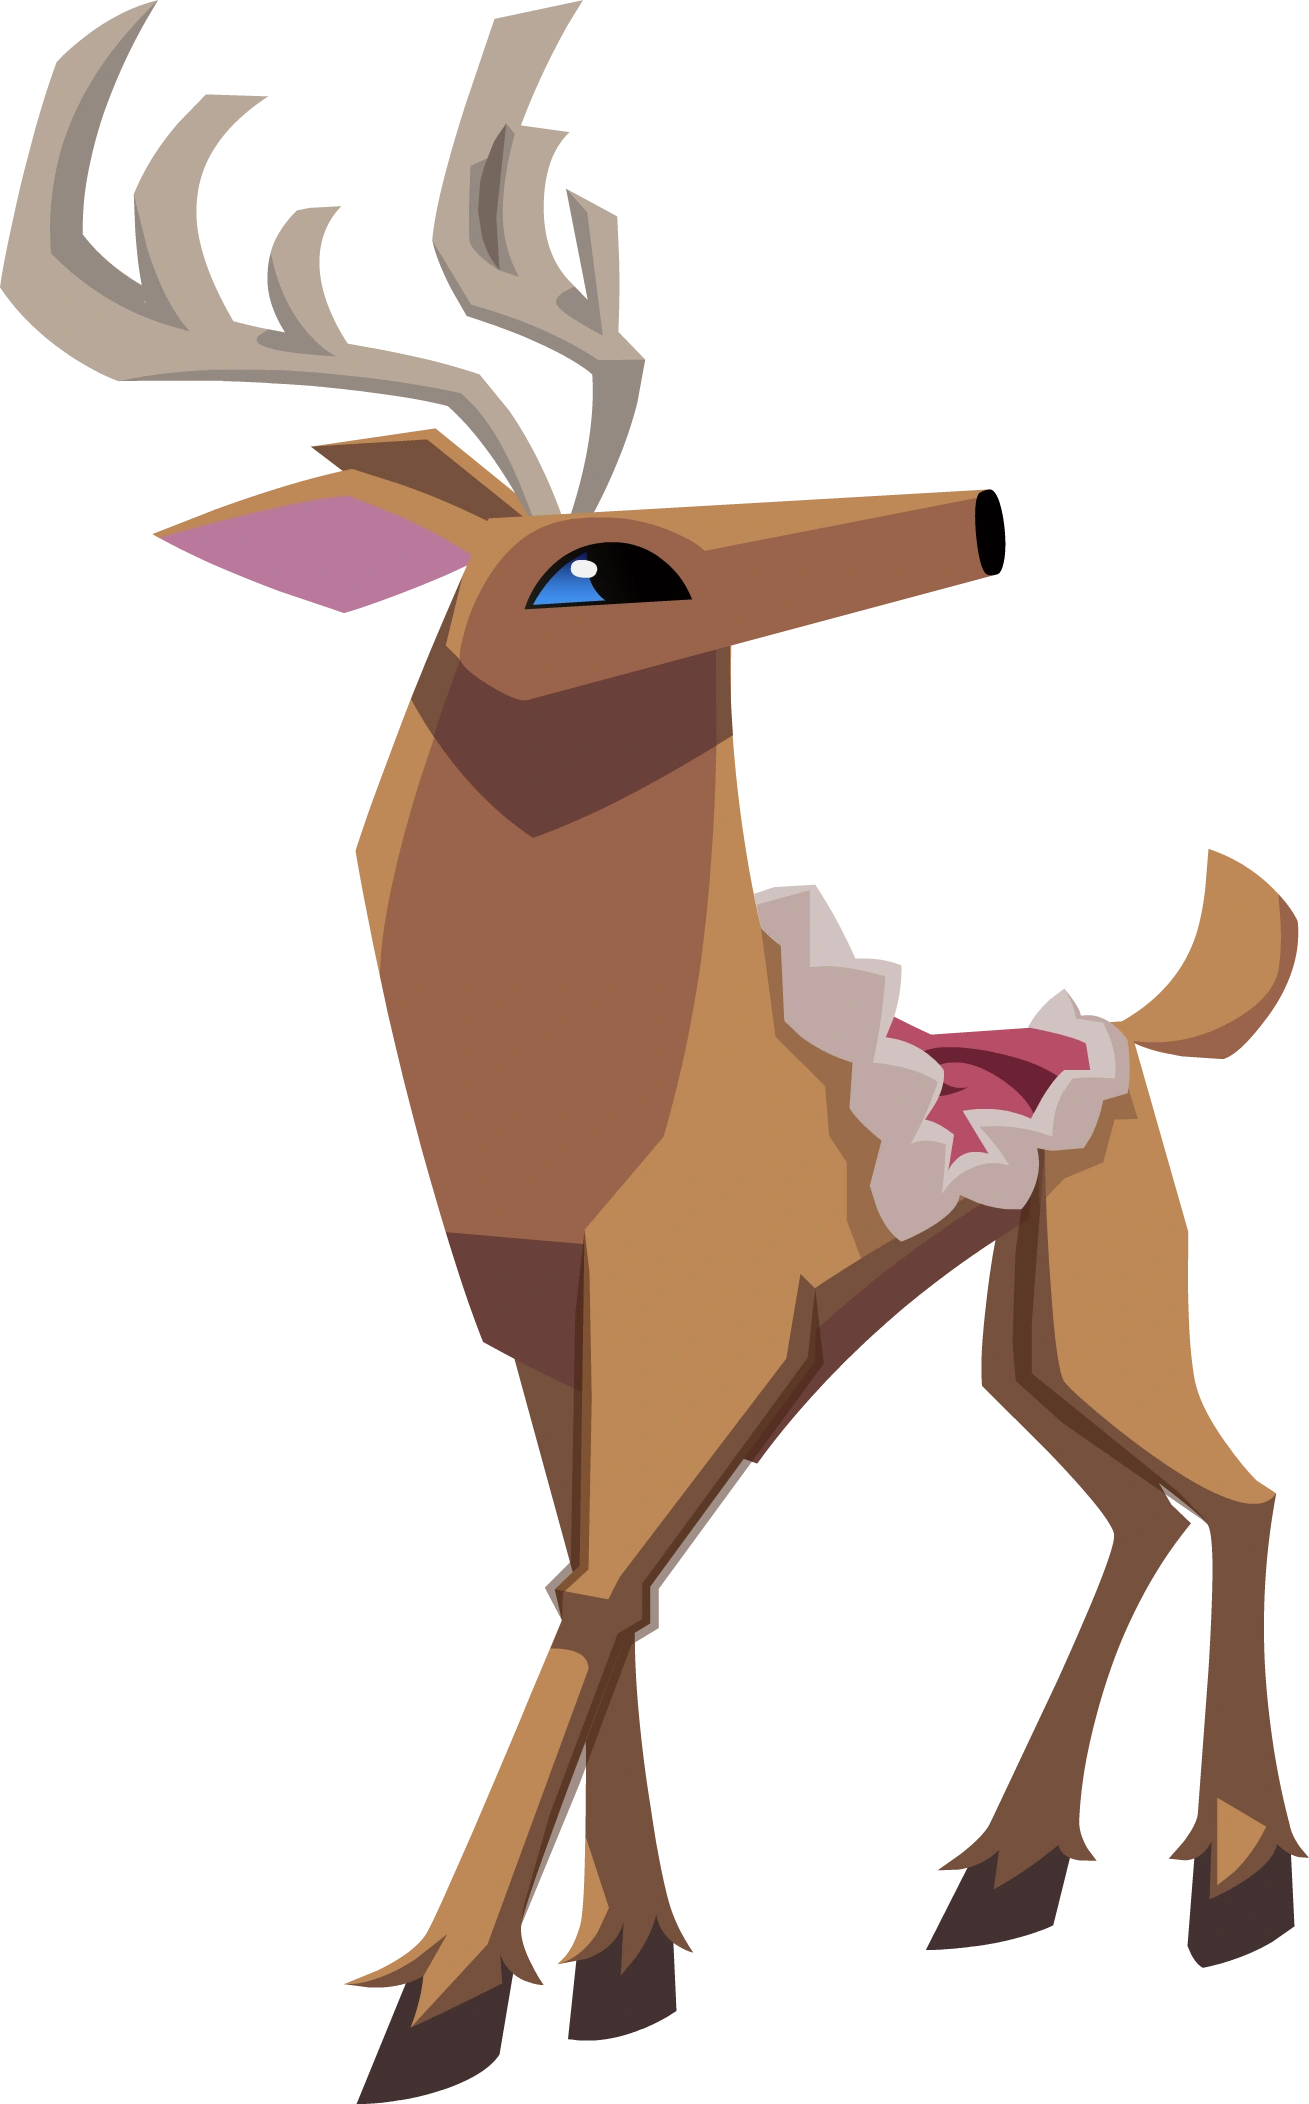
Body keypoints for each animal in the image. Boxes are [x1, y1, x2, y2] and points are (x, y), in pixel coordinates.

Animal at [6, 5, 1302, 2096]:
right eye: (598, 570)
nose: (948, 517)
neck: (595, 1104)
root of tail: (1128, 1026)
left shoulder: (705, 1326)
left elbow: (604, 1586)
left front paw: (445, 1995)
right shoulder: (553, 1333)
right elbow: (607, 1579)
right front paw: (611, 1960)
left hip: (1117, 1284)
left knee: (1231, 1487)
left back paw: (1236, 1876)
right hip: (1018, 1329)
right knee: (1128, 1499)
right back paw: (1006, 1864)